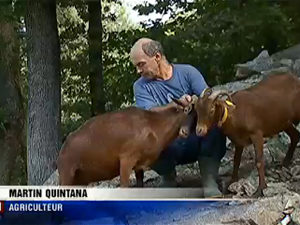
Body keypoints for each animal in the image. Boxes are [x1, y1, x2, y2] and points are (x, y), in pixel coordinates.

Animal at [56, 100, 192, 186]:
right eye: (186, 110)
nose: (185, 132)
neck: (152, 126)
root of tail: (63, 148)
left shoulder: (139, 166)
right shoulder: (126, 160)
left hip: (80, 180)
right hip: (67, 174)